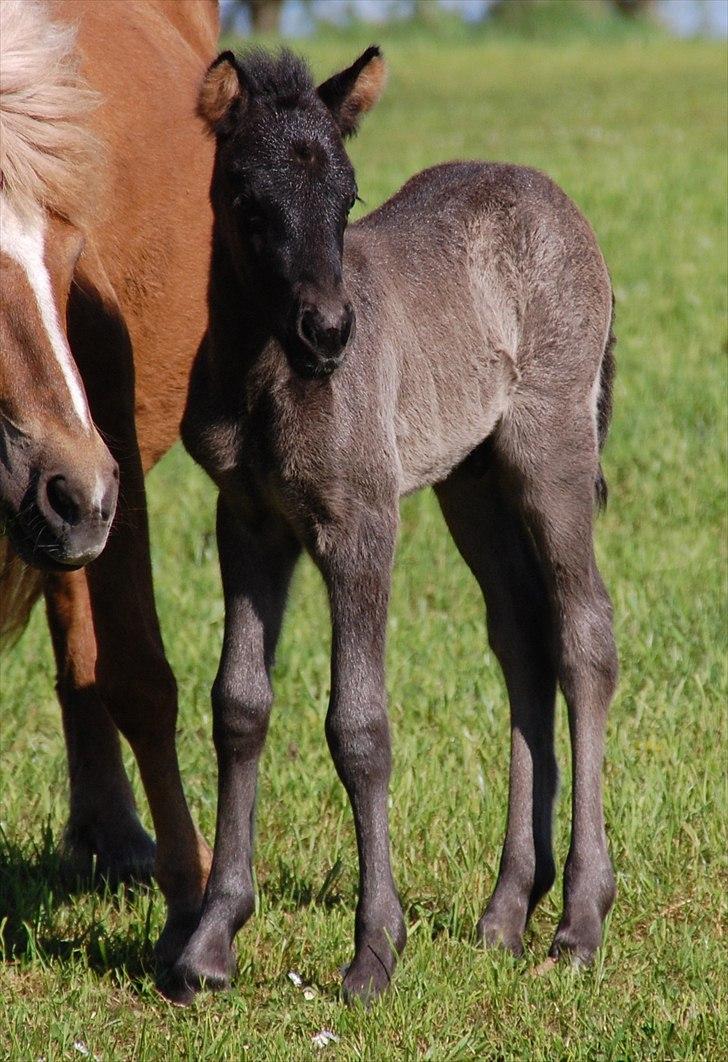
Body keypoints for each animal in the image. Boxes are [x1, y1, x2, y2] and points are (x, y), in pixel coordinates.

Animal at [167, 43, 616, 1002]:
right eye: (247, 201)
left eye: (348, 198)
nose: (332, 332)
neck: (268, 376)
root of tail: (554, 198)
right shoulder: (247, 519)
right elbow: (239, 706)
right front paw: (208, 943)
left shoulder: (361, 523)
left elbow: (360, 728)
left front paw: (375, 950)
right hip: (471, 484)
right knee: (522, 639)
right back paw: (505, 911)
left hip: (551, 450)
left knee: (584, 634)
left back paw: (580, 920)